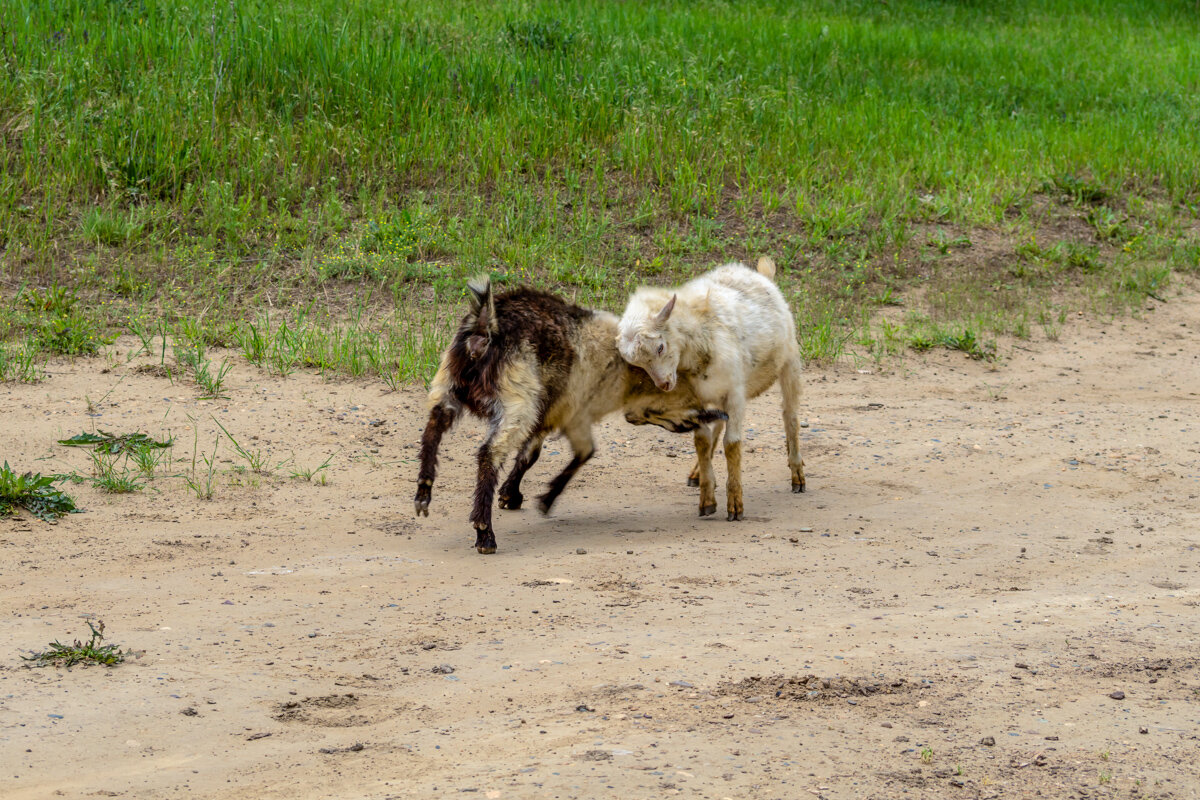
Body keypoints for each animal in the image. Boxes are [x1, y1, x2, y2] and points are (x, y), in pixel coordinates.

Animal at [417, 278, 724, 554]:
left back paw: (423, 492)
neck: (625, 371)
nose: (702, 418)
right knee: (488, 453)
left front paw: (510, 495)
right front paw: (544, 500)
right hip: (517, 400)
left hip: (449, 383)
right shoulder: (573, 414)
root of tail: (485, 325)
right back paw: (484, 533)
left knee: (433, 426)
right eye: (674, 403)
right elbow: (579, 452)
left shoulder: (549, 414)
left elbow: (531, 454)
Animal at [619, 253, 806, 522]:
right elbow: (702, 441)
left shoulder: (736, 394)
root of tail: (760, 275)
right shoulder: (697, 398)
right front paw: (707, 499)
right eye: (637, 364)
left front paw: (735, 504)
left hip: (790, 362)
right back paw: (698, 473)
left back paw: (797, 474)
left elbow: (732, 444)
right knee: (718, 423)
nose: (664, 385)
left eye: (660, 347)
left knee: (790, 417)